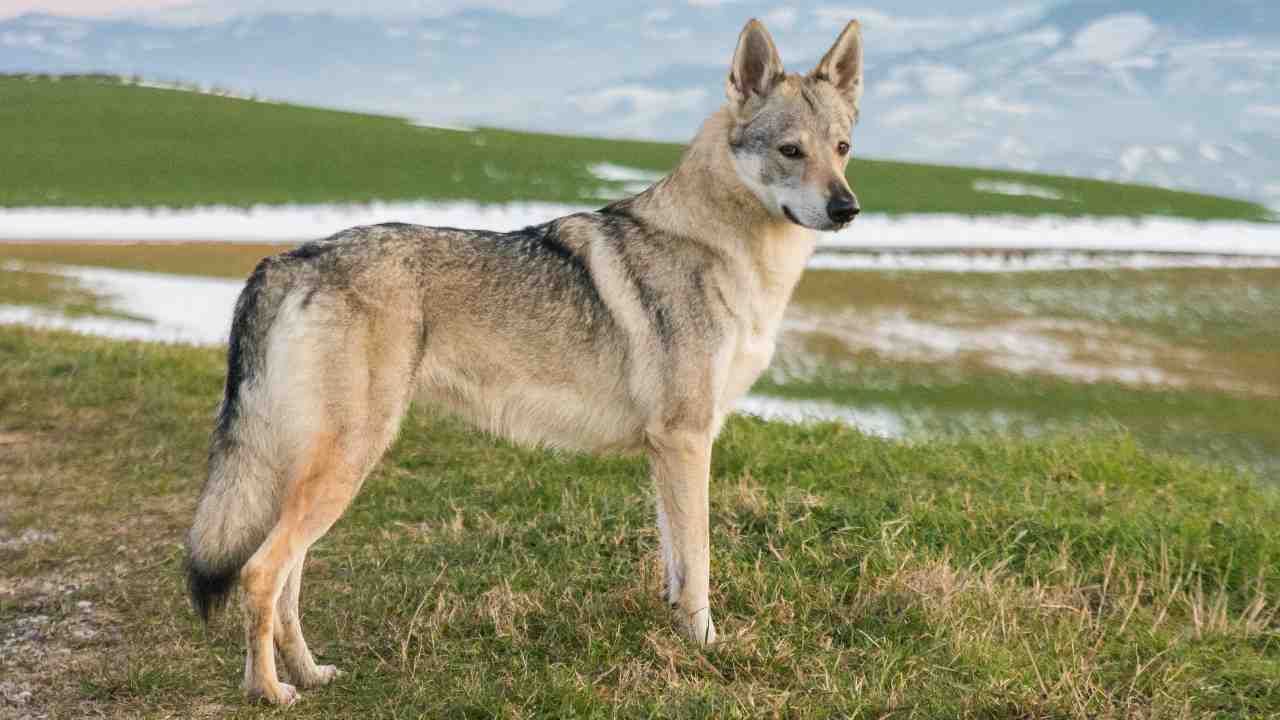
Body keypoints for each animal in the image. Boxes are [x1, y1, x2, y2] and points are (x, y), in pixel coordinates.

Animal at [185, 17, 864, 704]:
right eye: (790, 151)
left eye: (841, 148)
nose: (847, 209)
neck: (729, 251)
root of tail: (287, 259)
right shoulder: (686, 439)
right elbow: (698, 562)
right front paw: (706, 647)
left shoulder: (669, 447)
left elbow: (676, 562)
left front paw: (678, 633)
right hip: (345, 464)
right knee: (260, 572)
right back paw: (269, 691)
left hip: (323, 472)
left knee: (286, 580)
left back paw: (305, 674)